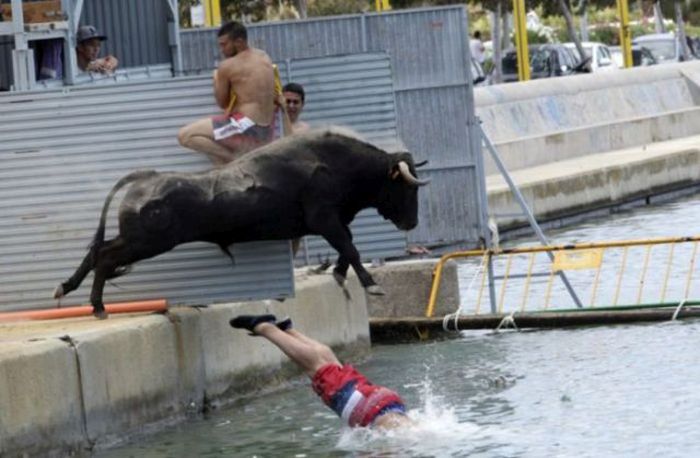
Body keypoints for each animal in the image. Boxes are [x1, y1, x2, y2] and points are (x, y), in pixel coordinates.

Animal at [53, 130, 426, 318]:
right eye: (407, 187)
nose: (411, 222)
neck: (335, 162)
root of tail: (148, 177)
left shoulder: (333, 221)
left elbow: (347, 248)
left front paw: (338, 273)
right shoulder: (324, 219)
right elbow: (351, 247)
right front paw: (371, 284)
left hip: (137, 239)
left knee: (98, 251)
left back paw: (67, 288)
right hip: (145, 242)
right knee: (105, 257)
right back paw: (97, 306)